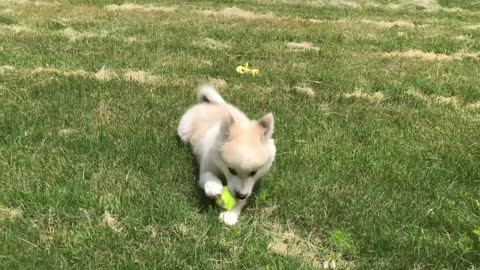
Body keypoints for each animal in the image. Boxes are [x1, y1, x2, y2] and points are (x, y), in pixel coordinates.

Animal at [177, 84, 276, 226]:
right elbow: (208, 176)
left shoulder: (248, 187)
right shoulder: (206, 167)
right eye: (232, 170)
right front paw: (214, 187)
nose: (240, 195)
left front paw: (231, 214)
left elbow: (243, 198)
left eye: (253, 172)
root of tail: (216, 104)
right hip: (184, 131)